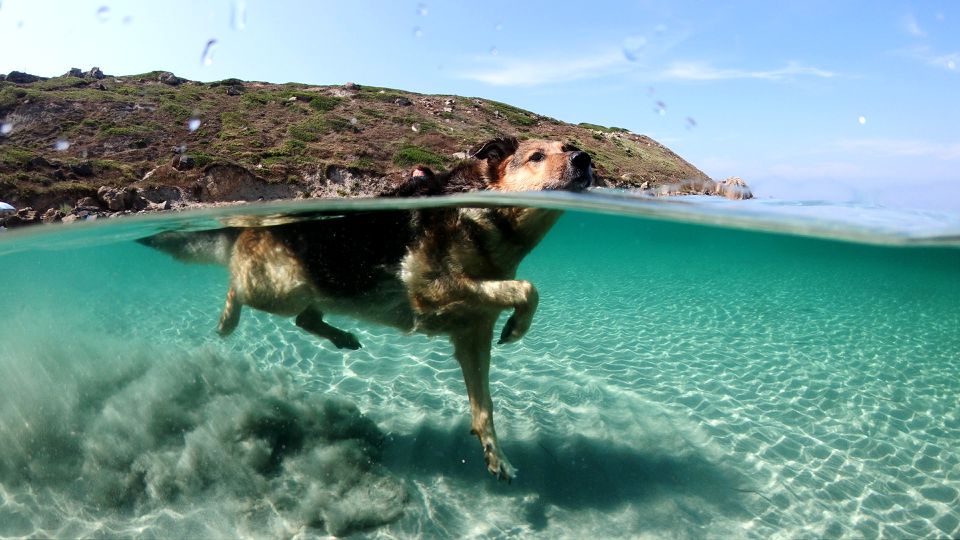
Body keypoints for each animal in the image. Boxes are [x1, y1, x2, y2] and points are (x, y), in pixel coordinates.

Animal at [139, 136, 592, 480]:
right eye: (536, 157)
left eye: (568, 146)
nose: (585, 159)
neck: (487, 219)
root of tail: (244, 231)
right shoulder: (432, 291)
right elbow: (527, 288)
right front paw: (518, 327)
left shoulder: (472, 335)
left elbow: (485, 405)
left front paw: (495, 454)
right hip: (277, 287)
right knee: (241, 288)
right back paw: (227, 320)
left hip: (311, 289)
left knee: (306, 317)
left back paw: (342, 337)